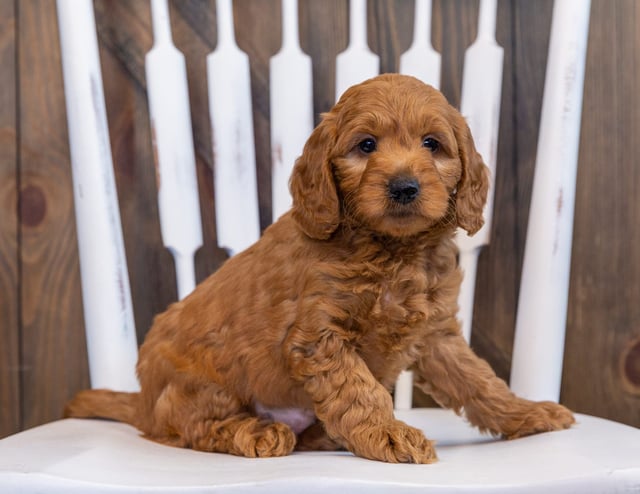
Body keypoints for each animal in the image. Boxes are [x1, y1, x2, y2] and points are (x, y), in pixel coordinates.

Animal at [66, 73, 576, 464]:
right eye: (366, 145)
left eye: (432, 144)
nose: (404, 186)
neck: (392, 251)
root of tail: (142, 404)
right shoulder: (320, 337)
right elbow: (360, 392)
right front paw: (389, 434)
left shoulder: (437, 337)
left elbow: (480, 383)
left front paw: (528, 414)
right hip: (199, 384)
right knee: (197, 428)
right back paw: (258, 431)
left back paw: (326, 436)